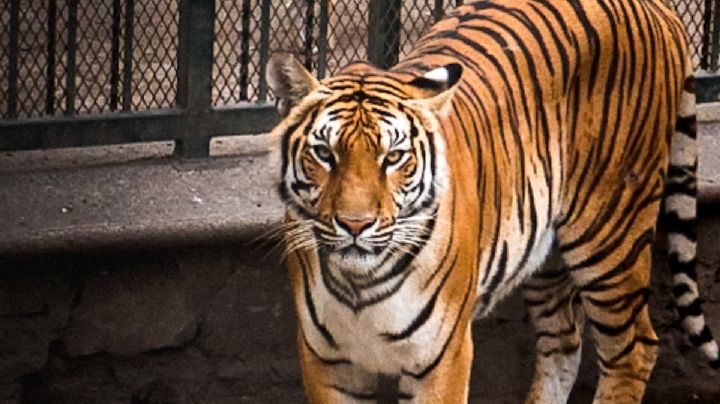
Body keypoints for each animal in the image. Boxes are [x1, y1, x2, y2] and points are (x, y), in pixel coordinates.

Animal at [266, 0, 719, 402]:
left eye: (392, 157)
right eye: (325, 154)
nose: (355, 225)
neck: (359, 284)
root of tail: (659, 7)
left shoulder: (441, 359)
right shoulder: (328, 362)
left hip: (610, 235)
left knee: (634, 348)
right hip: (543, 253)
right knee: (564, 341)